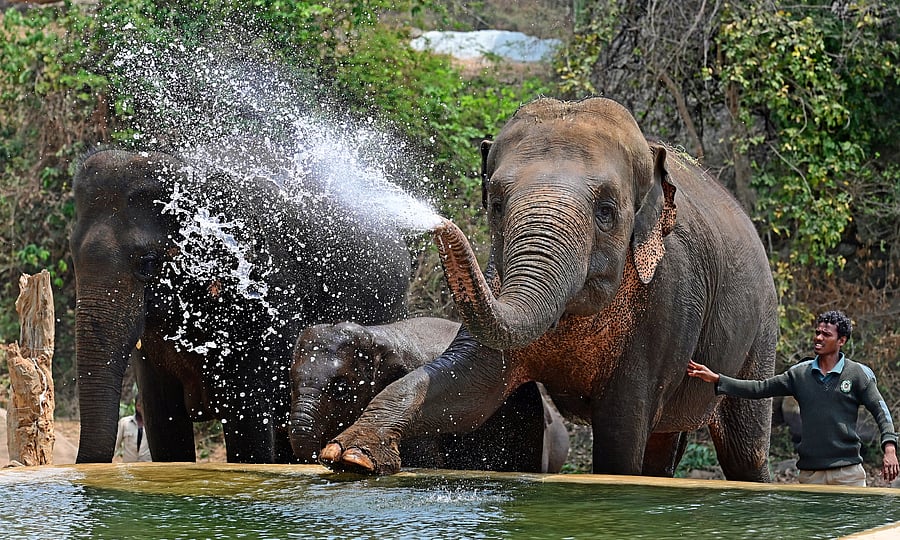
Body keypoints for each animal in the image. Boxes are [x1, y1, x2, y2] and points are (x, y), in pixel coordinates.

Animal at [319, 97, 779, 480]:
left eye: (606, 211)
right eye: (497, 205)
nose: (441, 224)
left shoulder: (670, 295)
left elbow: (622, 427)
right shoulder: (497, 277)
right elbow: (471, 387)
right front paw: (350, 456)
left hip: (762, 331)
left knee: (744, 450)